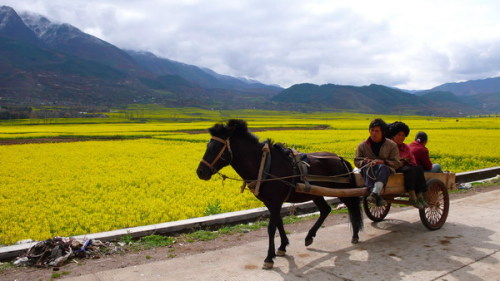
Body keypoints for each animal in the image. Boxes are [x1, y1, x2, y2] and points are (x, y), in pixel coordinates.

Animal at [196, 119, 364, 268]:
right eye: (208, 145)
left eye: (217, 147)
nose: (200, 172)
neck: (264, 164)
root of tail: (339, 158)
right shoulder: (271, 202)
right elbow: (279, 222)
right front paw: (282, 247)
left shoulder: (276, 201)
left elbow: (271, 228)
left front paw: (269, 258)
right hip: (316, 193)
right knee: (325, 210)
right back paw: (309, 237)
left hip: (341, 190)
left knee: (352, 206)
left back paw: (355, 235)